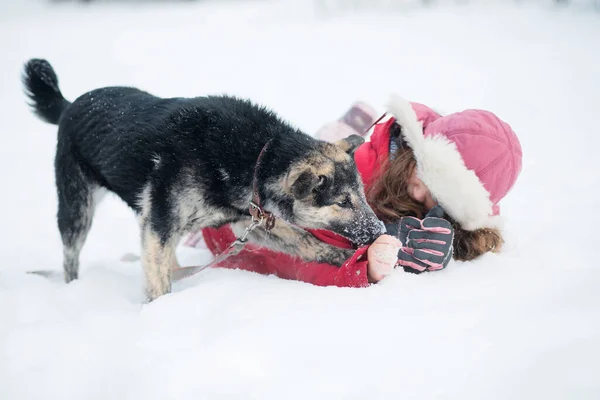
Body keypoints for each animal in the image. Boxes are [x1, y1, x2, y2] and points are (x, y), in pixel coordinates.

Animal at [22, 59, 384, 302]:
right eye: (342, 202)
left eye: (361, 195)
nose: (380, 231)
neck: (257, 156)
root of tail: (69, 105)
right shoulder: (160, 225)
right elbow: (157, 283)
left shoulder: (249, 222)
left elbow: (306, 241)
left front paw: (342, 258)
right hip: (77, 212)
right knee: (71, 257)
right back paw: (73, 287)